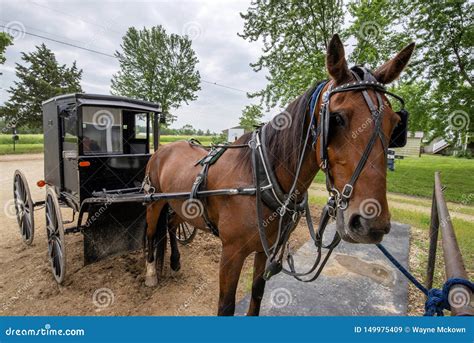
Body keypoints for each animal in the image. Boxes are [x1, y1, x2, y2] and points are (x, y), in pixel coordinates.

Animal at [143, 35, 412, 318]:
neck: (261, 177)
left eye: (395, 124)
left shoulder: (267, 248)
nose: (371, 223)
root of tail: (162, 149)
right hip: (154, 202)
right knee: (151, 232)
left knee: (171, 225)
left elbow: (257, 293)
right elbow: (226, 306)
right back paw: (150, 274)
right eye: (337, 118)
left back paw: (174, 262)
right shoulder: (231, 253)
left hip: (178, 205)